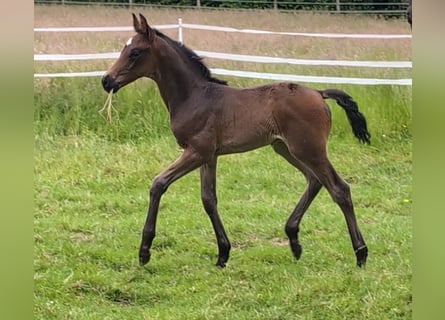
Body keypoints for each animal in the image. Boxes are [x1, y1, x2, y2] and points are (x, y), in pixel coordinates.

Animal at [102, 13, 370, 268]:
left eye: (135, 52)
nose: (106, 80)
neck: (194, 96)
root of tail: (319, 93)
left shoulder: (196, 152)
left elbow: (158, 184)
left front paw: (144, 251)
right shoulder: (209, 156)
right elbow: (208, 199)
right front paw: (223, 254)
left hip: (309, 149)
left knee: (339, 189)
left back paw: (361, 253)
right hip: (285, 148)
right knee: (314, 181)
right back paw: (294, 240)